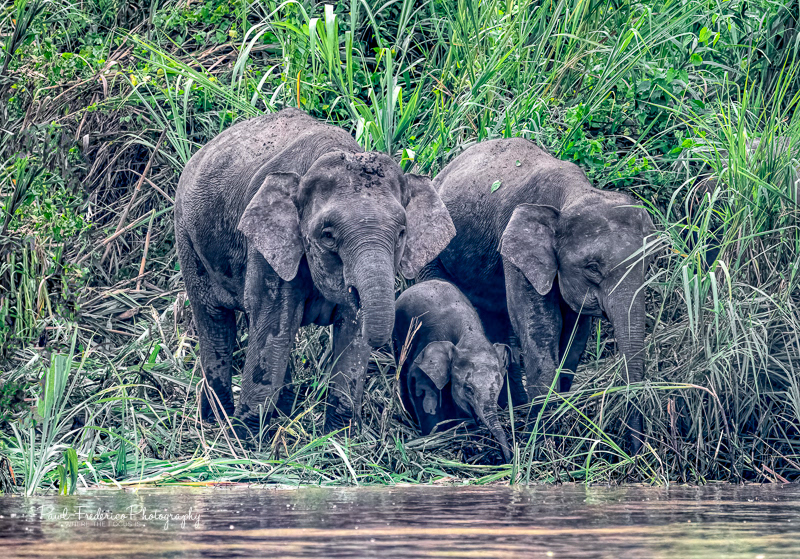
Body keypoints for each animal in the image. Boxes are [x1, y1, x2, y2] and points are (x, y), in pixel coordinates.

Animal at [175, 108, 455, 434]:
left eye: (401, 233)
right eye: (328, 235)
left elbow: (350, 331)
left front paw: (338, 436)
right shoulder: (268, 247)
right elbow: (273, 325)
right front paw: (248, 439)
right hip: (186, 236)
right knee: (215, 321)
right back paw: (217, 423)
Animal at [394, 280, 511, 462]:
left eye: (498, 389)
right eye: (468, 389)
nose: (506, 460)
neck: (469, 333)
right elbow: (423, 386)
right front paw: (433, 435)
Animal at [426, 138, 655, 451]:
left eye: (648, 262)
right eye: (592, 268)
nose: (636, 452)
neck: (574, 193)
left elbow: (575, 334)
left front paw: (557, 415)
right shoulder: (514, 249)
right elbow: (542, 327)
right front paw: (543, 437)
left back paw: (516, 407)